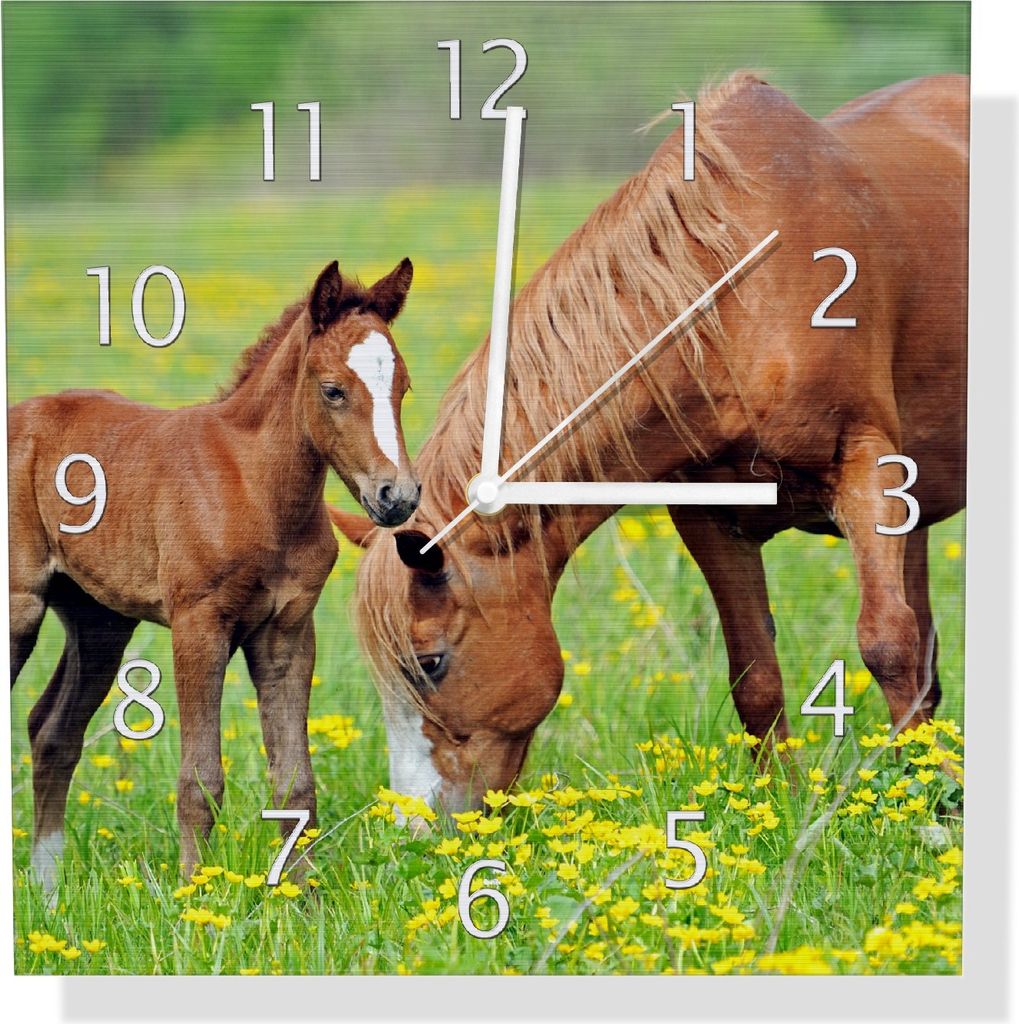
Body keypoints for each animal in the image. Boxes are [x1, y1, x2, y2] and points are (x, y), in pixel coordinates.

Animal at [10, 258, 420, 887]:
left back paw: (49, 890)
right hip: (21, 609)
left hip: (99, 623)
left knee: (53, 732)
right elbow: (199, 780)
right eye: (333, 390)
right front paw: (192, 894)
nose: (396, 497)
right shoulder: (198, 625)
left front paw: (302, 896)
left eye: (402, 387)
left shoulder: (287, 633)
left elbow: (296, 782)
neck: (255, 488)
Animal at [336, 72, 968, 818]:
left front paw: (927, 804)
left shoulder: (864, 467)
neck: (734, 299)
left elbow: (887, 644)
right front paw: (777, 806)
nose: (417, 825)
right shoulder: (709, 518)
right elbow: (754, 677)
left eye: (429, 663)